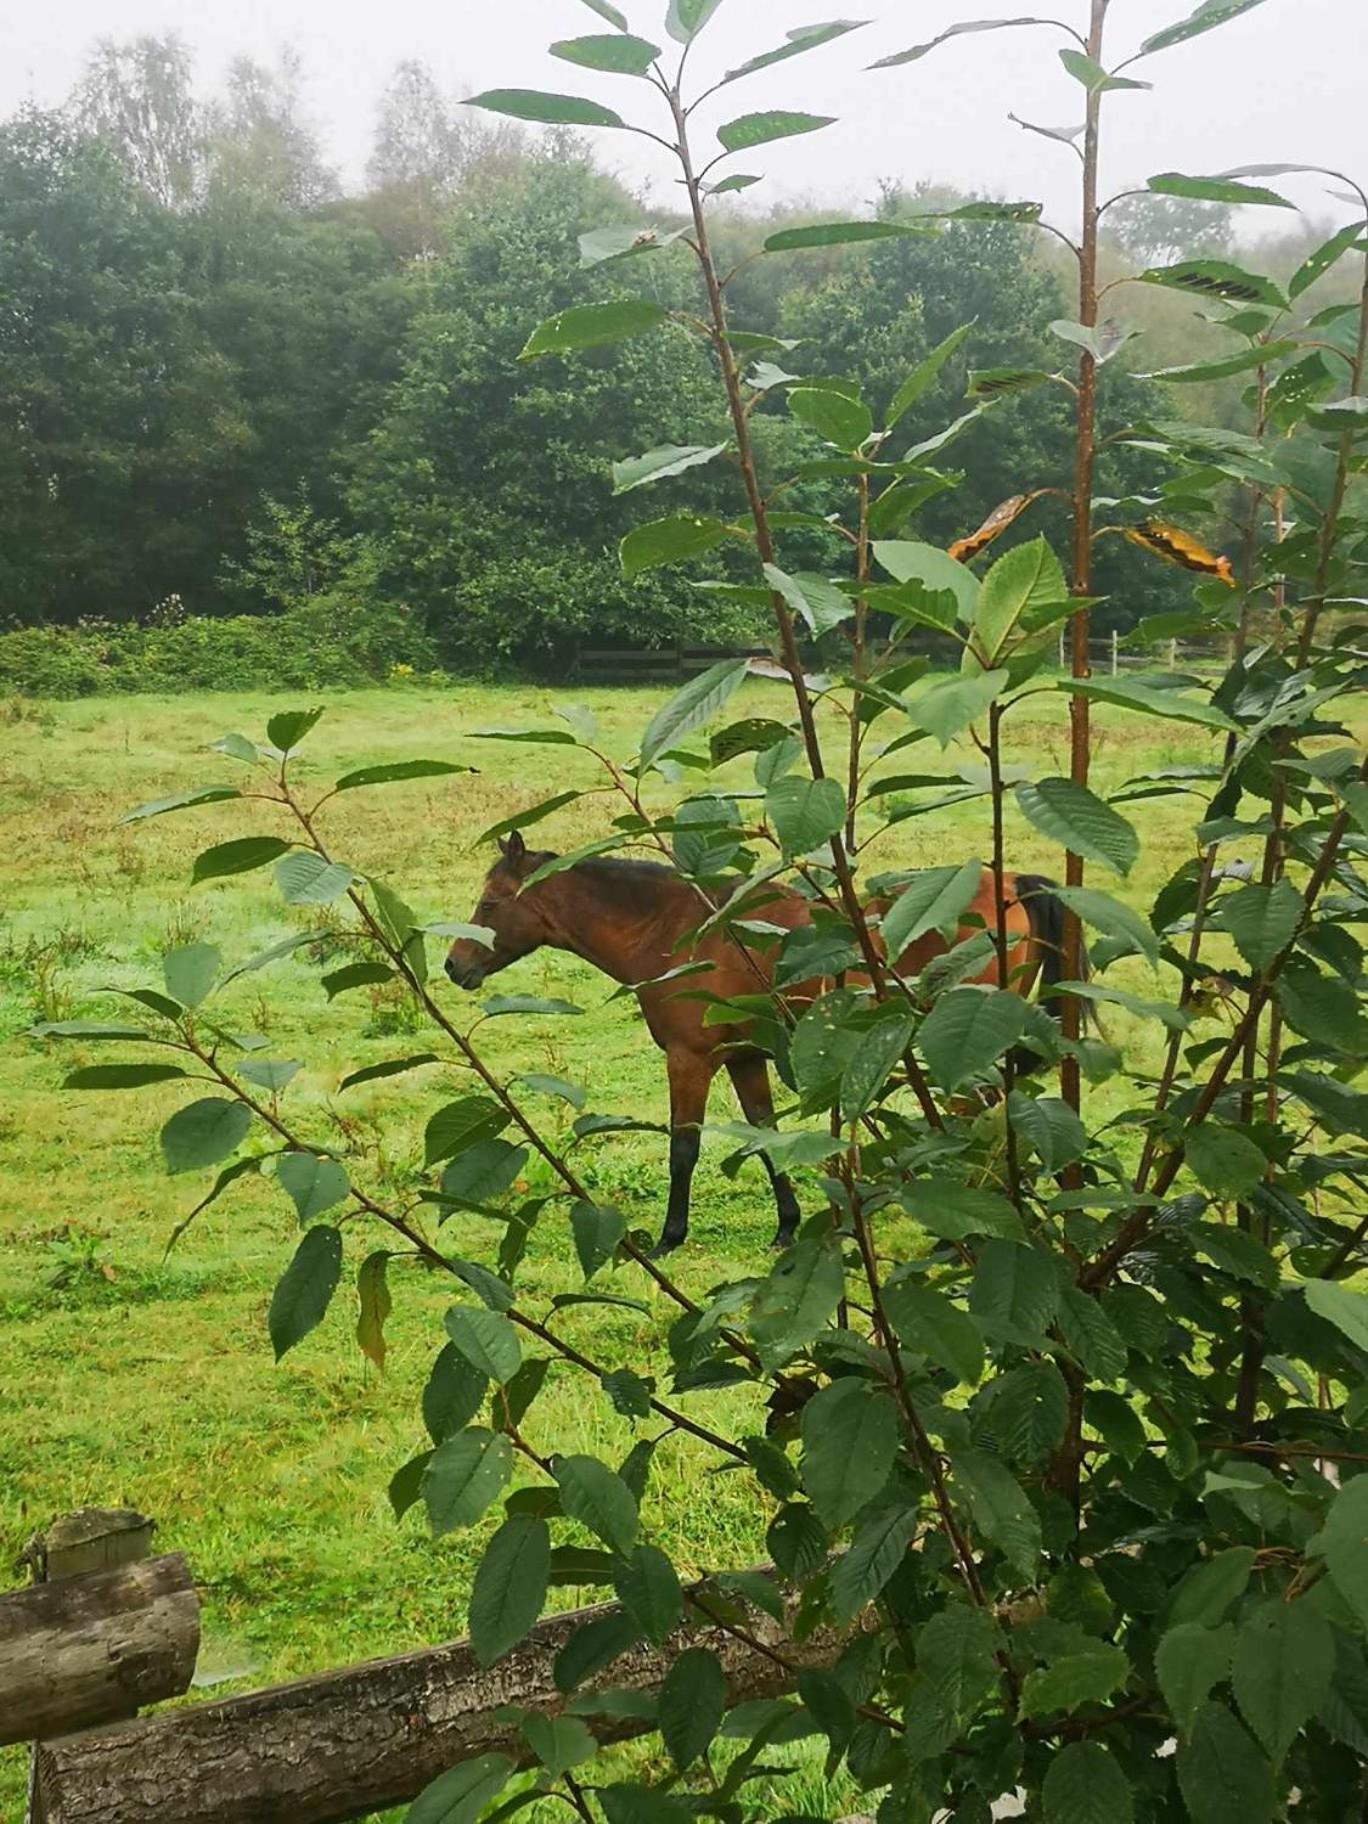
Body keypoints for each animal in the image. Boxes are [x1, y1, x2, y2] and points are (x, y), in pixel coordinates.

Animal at [450, 835, 1072, 1254]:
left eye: (489, 905)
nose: (454, 965)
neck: (670, 928)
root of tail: (1009, 884)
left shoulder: (690, 1061)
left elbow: (683, 1150)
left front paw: (669, 1238)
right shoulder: (745, 1060)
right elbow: (766, 1137)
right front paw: (787, 1227)